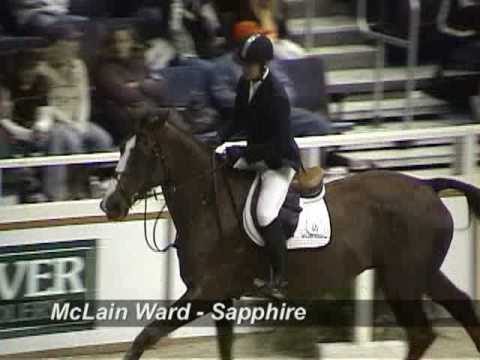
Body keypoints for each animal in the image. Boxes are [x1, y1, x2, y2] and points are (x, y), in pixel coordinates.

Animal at [100, 110, 480, 360]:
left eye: (143, 150)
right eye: (120, 149)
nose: (110, 204)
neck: (208, 202)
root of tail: (429, 186)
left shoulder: (206, 292)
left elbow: (146, 336)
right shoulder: (222, 299)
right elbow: (223, 348)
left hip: (402, 280)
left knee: (421, 332)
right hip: (421, 274)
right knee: (460, 309)